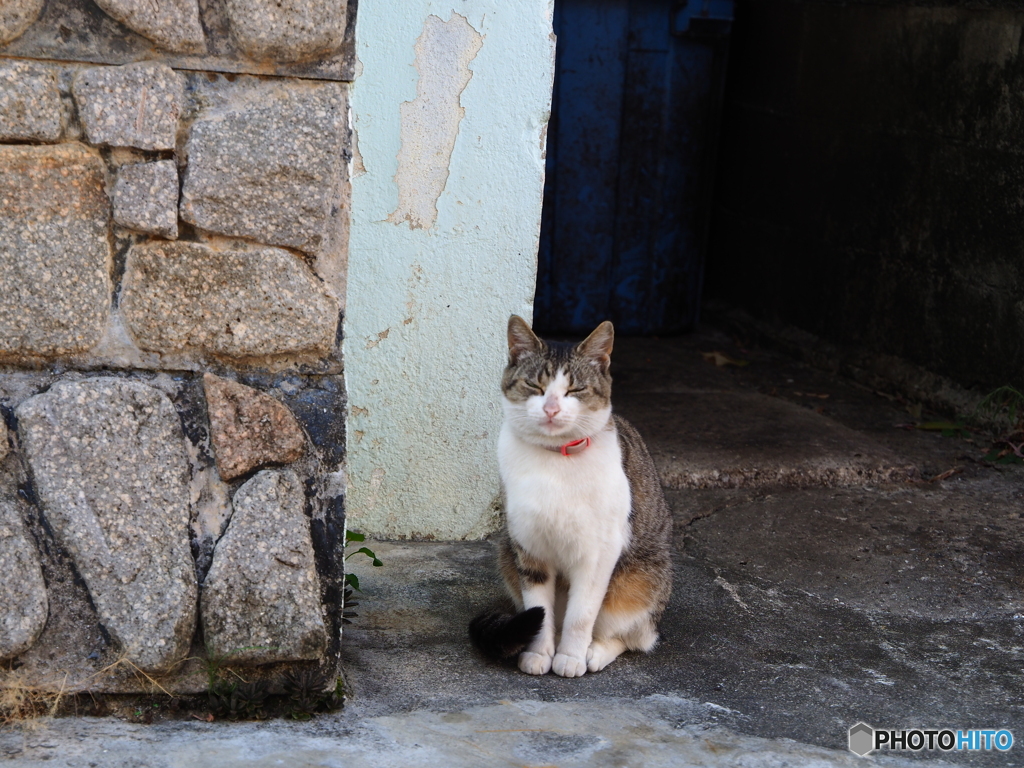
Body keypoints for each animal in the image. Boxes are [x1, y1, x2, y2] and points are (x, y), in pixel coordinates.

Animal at [468, 315, 671, 675]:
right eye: (535, 386)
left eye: (574, 390)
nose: (551, 409)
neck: (556, 458)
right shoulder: (528, 545)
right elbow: (539, 609)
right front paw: (539, 654)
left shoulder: (599, 552)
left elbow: (582, 615)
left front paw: (570, 658)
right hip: (507, 551)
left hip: (640, 582)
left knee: (634, 636)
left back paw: (595, 652)